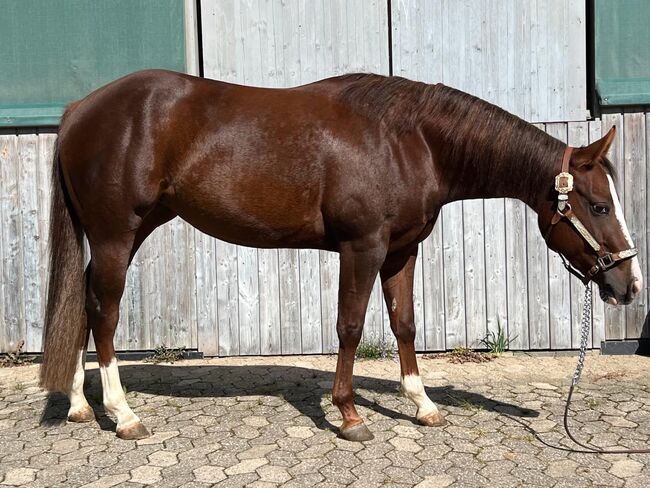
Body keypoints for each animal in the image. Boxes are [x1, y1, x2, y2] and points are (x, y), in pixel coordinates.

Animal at [39, 71, 636, 442]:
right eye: (600, 205)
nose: (628, 286)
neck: (410, 140)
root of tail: (79, 110)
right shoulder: (362, 246)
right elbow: (350, 326)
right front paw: (349, 415)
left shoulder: (401, 251)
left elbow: (404, 323)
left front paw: (422, 404)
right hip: (117, 235)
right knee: (104, 312)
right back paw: (122, 414)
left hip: (127, 232)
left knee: (83, 303)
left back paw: (78, 404)